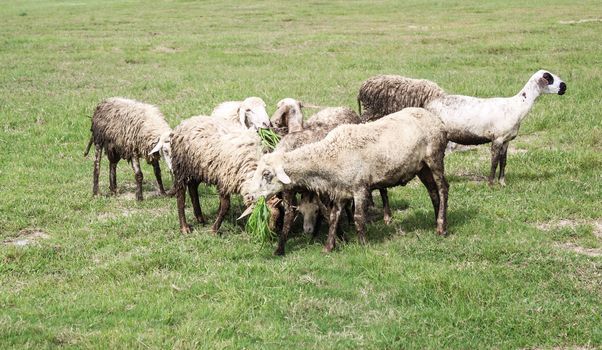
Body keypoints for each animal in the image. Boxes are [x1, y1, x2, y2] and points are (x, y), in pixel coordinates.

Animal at [358, 69, 564, 187]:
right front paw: (491, 184)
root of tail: (428, 103)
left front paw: (502, 182)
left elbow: (503, 162)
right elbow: (493, 162)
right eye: (549, 78)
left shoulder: (506, 140)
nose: (565, 87)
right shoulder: (496, 139)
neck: (517, 106)